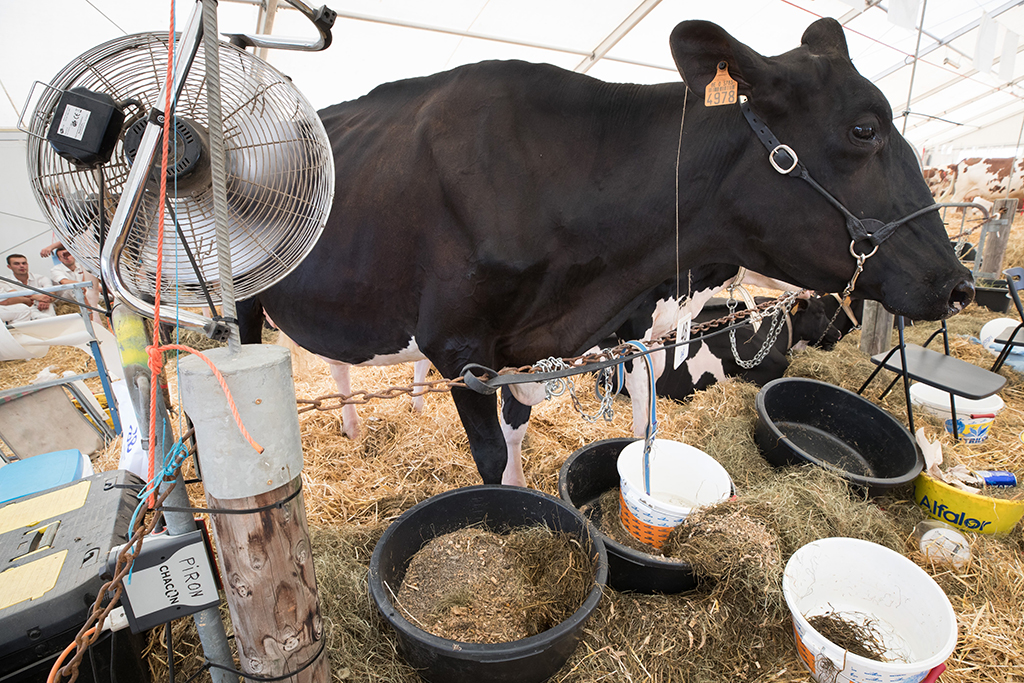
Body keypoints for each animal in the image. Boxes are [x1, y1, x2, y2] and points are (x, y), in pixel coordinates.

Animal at [240, 18, 974, 486]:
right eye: (864, 129)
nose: (959, 282)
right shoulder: (460, 347)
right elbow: (492, 464)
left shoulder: (554, 343)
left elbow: (531, 432)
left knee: (338, 365)